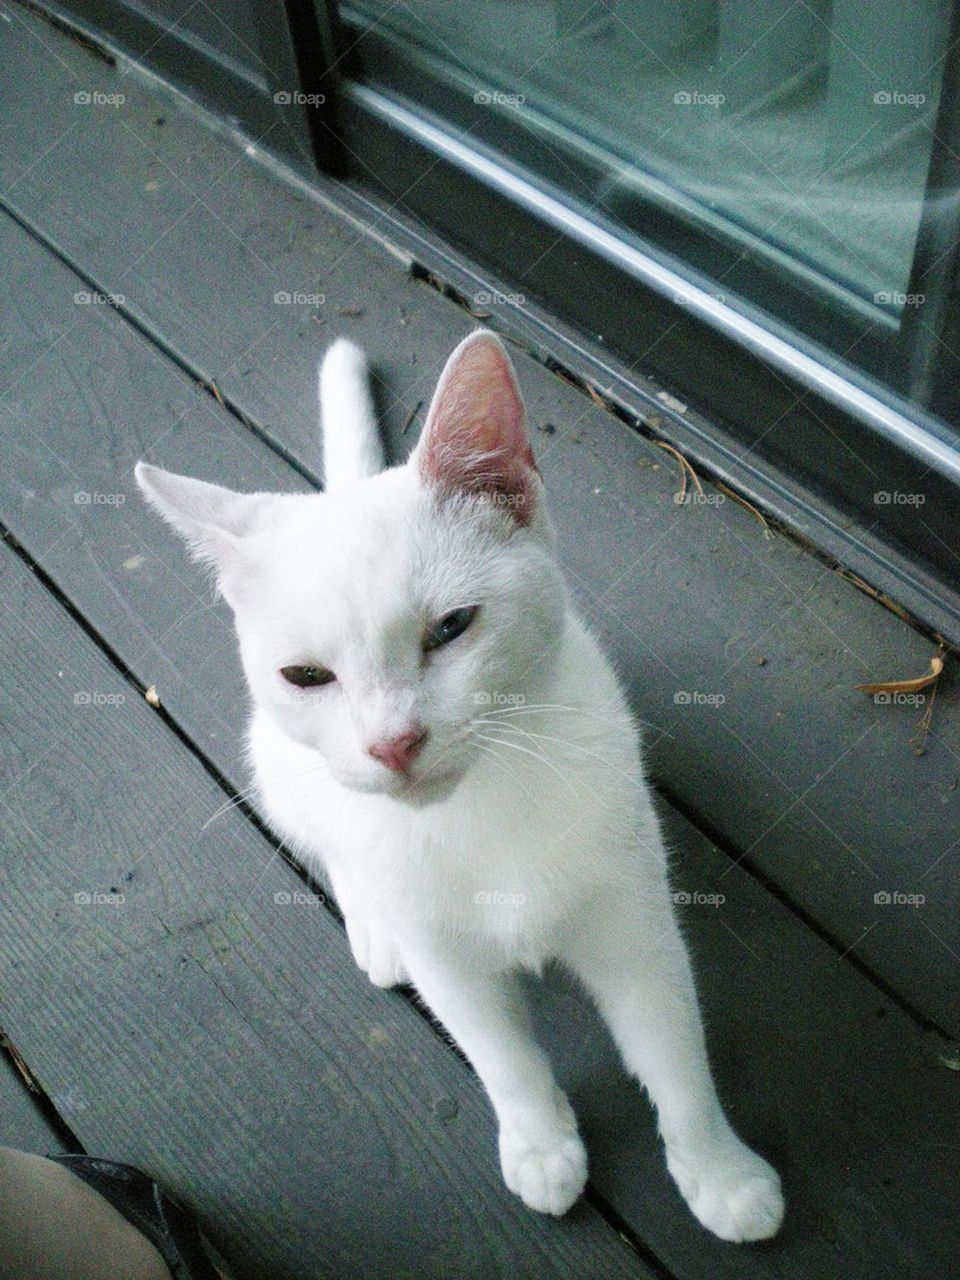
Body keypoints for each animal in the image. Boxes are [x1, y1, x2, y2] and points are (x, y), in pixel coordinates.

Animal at [138, 330, 783, 1239]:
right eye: (306, 675)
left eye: (451, 628)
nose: (392, 744)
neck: (480, 809)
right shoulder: (446, 957)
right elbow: (500, 1056)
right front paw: (540, 1144)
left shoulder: (632, 922)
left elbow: (673, 1051)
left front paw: (720, 1172)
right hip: (278, 771)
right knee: (333, 845)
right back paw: (372, 926)